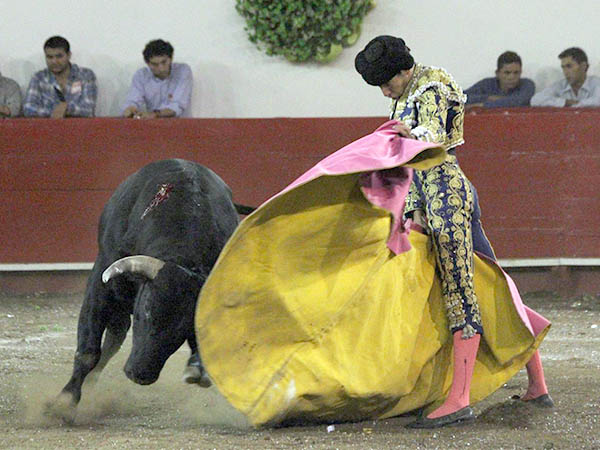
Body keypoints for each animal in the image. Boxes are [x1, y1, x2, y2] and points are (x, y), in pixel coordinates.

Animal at [48, 159, 247, 422]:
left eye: (184, 330)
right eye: (146, 313)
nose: (140, 374)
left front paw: (197, 366)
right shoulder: (100, 283)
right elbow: (88, 351)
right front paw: (63, 403)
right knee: (113, 338)